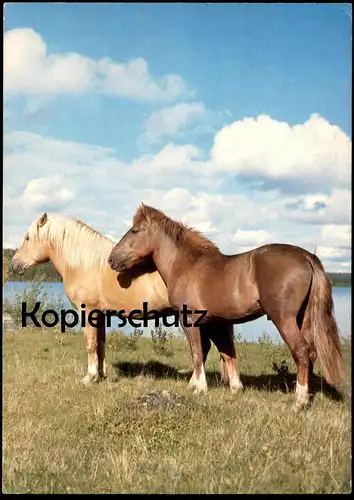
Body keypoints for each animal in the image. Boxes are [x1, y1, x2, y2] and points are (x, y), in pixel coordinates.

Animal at [10, 211, 235, 386]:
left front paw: (89, 377)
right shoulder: (100, 314)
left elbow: (90, 343)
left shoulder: (87, 311)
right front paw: (101, 375)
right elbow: (100, 344)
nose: (14, 264)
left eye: (28, 238)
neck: (85, 264)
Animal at [108, 203, 346, 410]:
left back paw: (299, 402)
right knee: (311, 353)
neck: (186, 266)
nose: (111, 259)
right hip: (303, 319)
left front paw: (199, 388)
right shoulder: (216, 323)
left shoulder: (190, 321)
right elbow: (225, 352)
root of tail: (307, 256)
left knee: (301, 351)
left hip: (284, 319)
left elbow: (198, 353)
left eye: (135, 230)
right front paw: (232, 388)